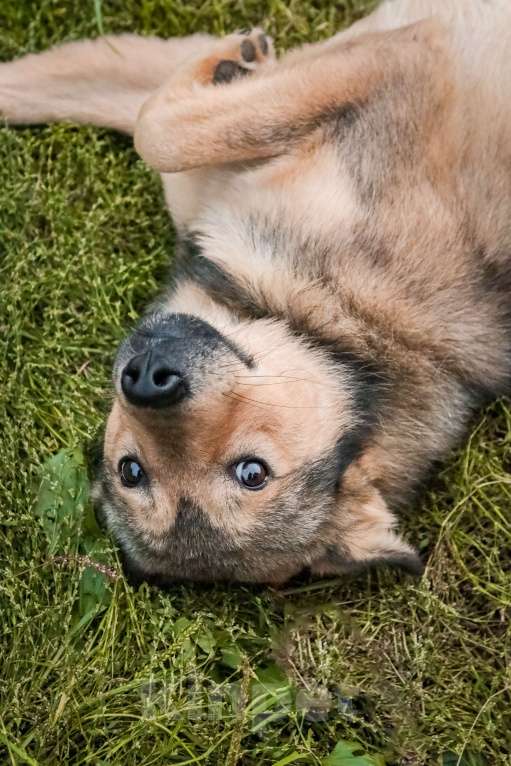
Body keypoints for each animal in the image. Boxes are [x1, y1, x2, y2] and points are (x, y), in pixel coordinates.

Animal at [2, 1, 510, 588]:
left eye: (251, 472)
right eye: (132, 471)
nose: (148, 380)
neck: (333, 311)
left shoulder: (407, 61)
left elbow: (158, 129)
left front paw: (229, 65)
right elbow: (105, 105)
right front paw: (233, 61)